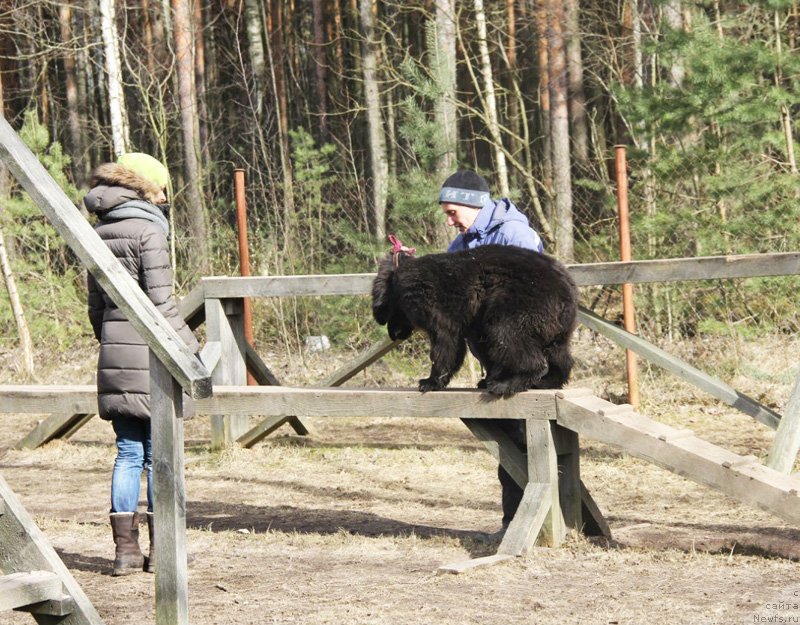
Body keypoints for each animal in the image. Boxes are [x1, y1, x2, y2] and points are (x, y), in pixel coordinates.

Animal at [372, 244, 580, 394]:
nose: (394, 335)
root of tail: (566, 285)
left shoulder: (432, 305)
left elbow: (445, 341)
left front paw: (431, 381)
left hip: (518, 303)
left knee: (508, 336)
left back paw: (507, 384)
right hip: (557, 323)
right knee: (560, 354)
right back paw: (548, 381)